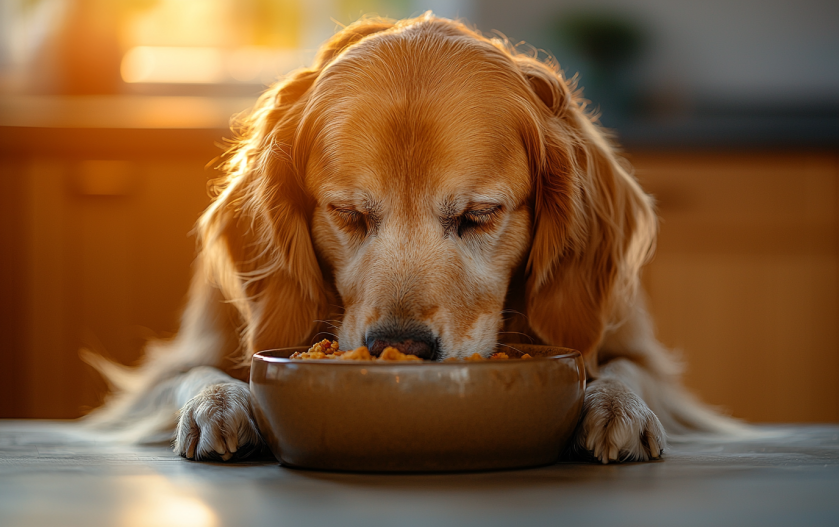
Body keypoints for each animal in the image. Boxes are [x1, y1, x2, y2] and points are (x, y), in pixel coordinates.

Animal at [85, 14, 740, 464]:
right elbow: (193, 375)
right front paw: (219, 404)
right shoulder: (162, 370)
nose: (399, 347)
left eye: (479, 215)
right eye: (348, 214)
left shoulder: (648, 358)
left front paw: (616, 404)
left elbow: (628, 369)